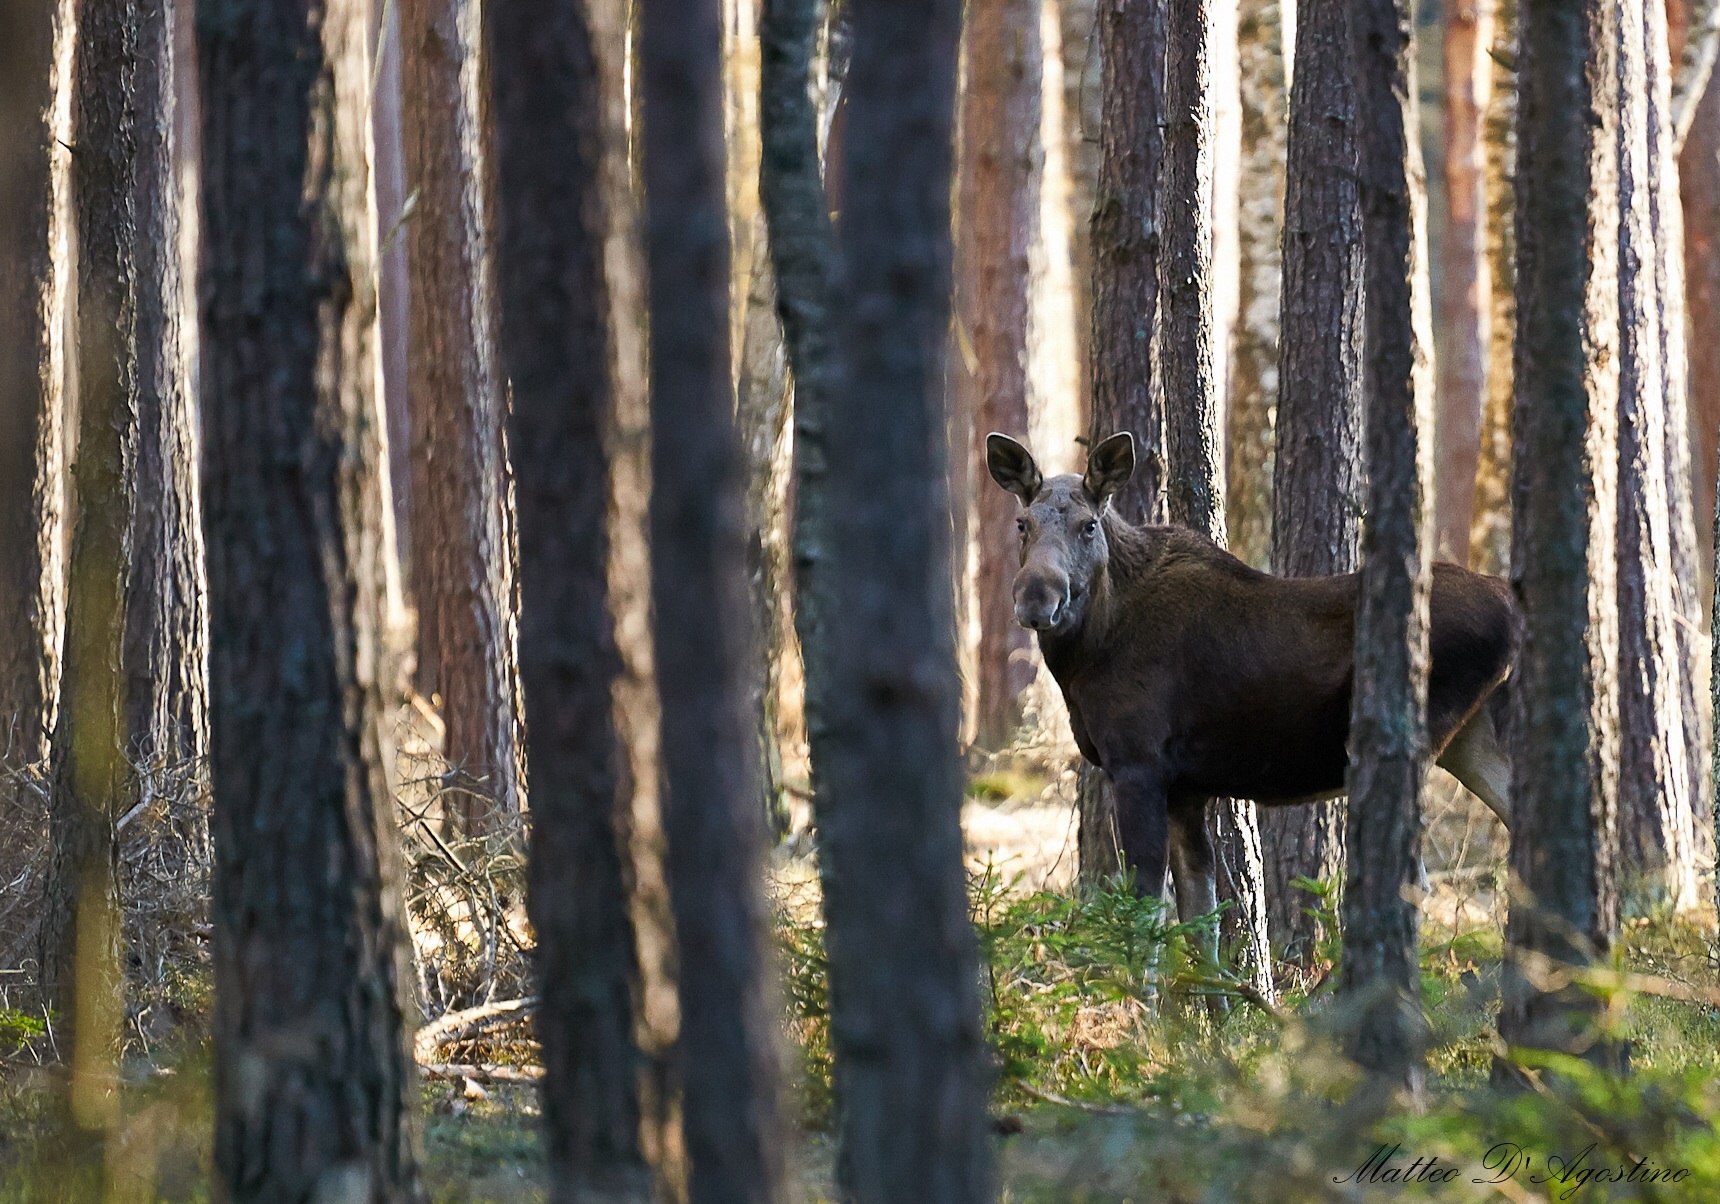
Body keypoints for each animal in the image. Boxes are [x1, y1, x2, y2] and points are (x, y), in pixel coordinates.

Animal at [984, 431, 1516, 954]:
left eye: (1089, 525)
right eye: (1022, 524)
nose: (1037, 597)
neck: (1087, 656)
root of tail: (1511, 604)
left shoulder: (1138, 765)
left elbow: (1146, 916)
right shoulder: (1185, 788)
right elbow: (1201, 922)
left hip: (1425, 740)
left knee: (1415, 881)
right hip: (1472, 740)